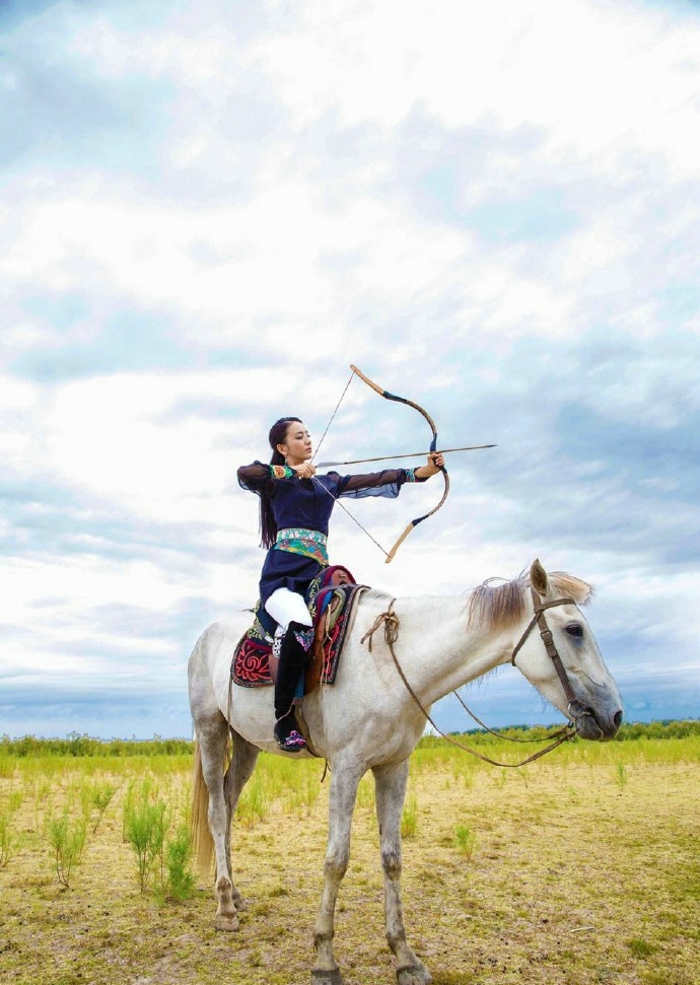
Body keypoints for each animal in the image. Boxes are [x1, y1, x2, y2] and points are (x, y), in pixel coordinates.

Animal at [189, 560, 620, 984]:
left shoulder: (393, 768)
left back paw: (234, 893)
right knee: (217, 812)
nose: (614, 714)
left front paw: (404, 956)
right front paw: (325, 959)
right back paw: (225, 907)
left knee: (229, 802)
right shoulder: (346, 768)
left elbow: (392, 858)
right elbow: (336, 860)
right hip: (211, 730)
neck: (391, 665)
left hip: (247, 744)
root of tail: (204, 638)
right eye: (574, 629)